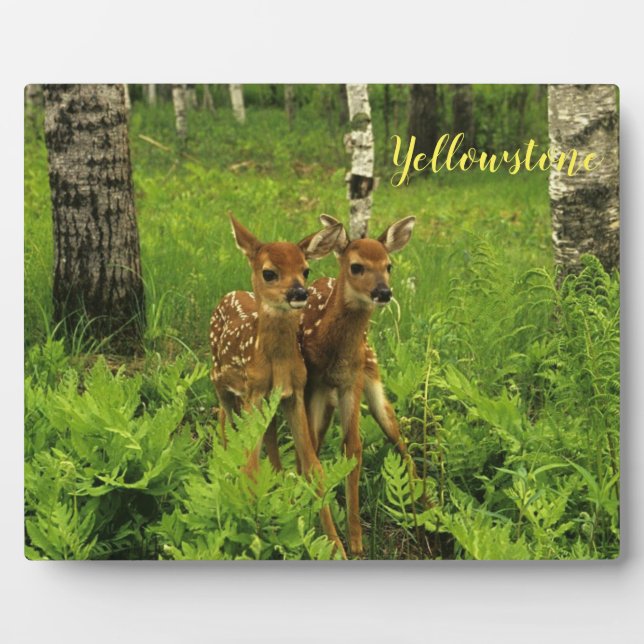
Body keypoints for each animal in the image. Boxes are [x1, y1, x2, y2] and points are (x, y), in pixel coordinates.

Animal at [209, 216, 346, 557]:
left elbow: (313, 467)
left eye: (305, 269)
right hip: (219, 381)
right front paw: (251, 534)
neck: (276, 365)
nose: (299, 292)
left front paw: (337, 546)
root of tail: (229, 293)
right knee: (224, 422)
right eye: (269, 272)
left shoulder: (292, 395)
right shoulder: (253, 393)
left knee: (266, 442)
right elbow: (249, 467)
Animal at [274, 214, 416, 556]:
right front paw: (326, 534)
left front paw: (357, 542)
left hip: (371, 372)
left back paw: (426, 505)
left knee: (398, 437)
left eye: (389, 265)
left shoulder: (352, 381)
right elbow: (311, 453)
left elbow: (353, 448)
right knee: (311, 447)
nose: (383, 292)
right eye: (356, 266)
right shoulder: (312, 384)